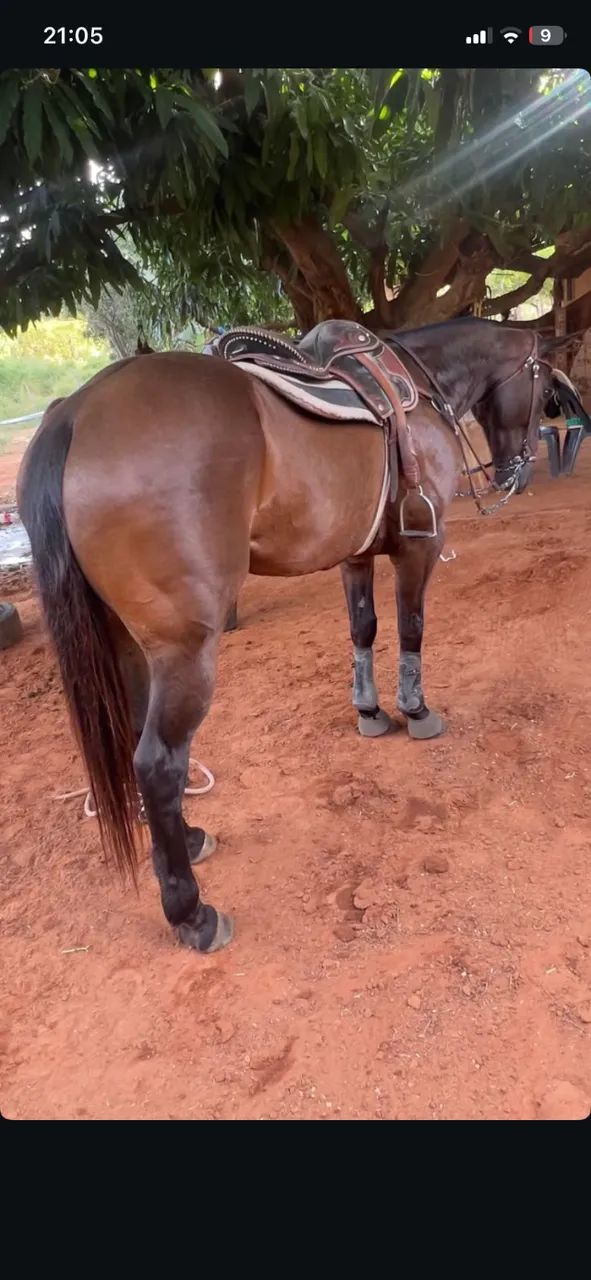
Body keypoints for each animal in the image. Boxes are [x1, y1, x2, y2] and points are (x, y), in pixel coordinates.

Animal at [17, 317, 578, 955]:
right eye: (545, 389)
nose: (517, 472)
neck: (417, 384)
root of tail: (75, 411)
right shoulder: (419, 545)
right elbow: (411, 625)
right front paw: (415, 710)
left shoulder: (355, 552)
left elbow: (364, 629)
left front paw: (370, 712)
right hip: (185, 650)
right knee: (159, 763)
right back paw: (191, 912)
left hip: (127, 642)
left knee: (138, 738)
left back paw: (187, 840)